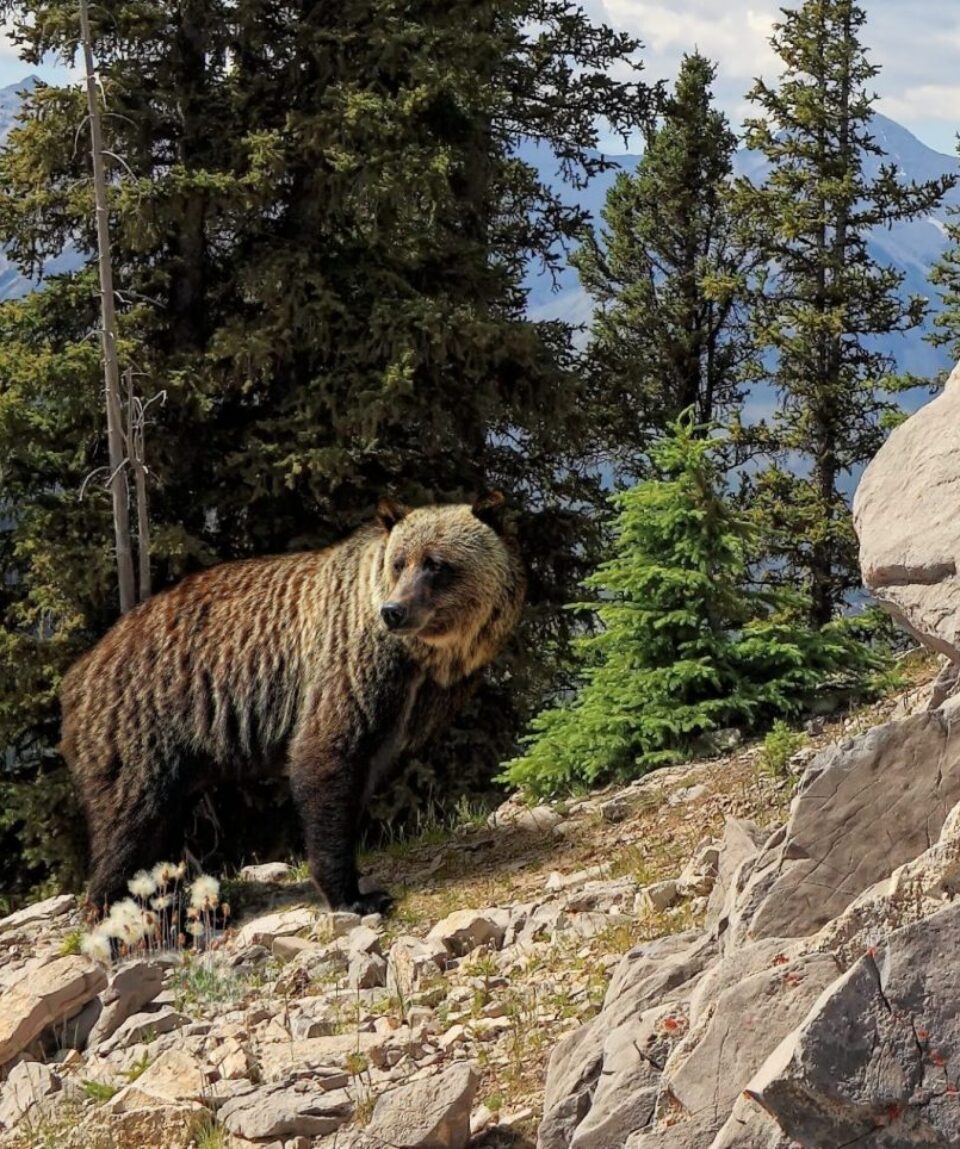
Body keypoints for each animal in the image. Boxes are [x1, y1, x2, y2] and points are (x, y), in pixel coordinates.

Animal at [60, 498, 525, 910]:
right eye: (400, 562)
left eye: (436, 563)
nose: (395, 610)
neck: (418, 662)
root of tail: (77, 673)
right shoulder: (345, 670)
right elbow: (324, 760)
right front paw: (354, 894)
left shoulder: (398, 710)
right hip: (141, 724)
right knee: (130, 821)